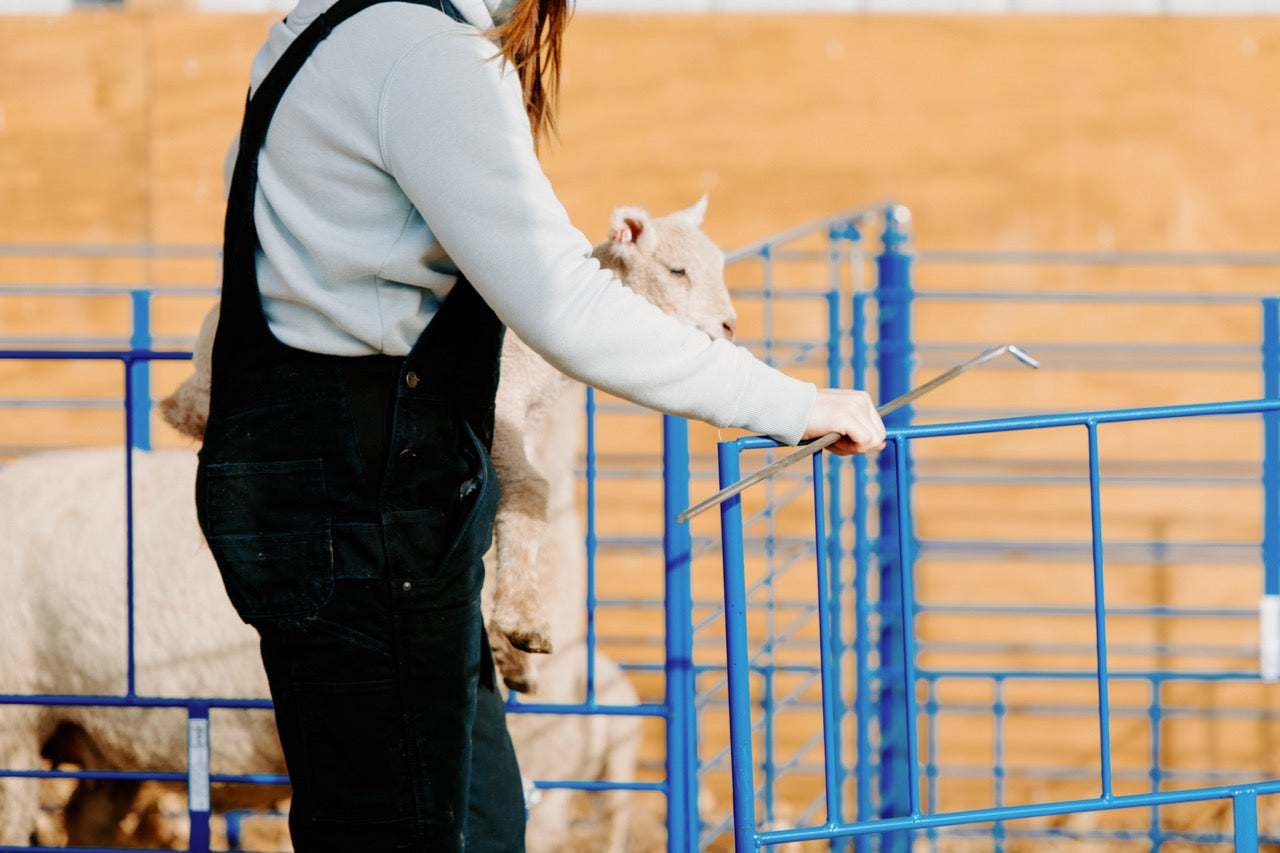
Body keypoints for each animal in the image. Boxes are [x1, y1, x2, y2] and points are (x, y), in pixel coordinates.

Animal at [158, 196, 738, 695]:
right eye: (677, 271)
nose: (730, 326)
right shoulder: (501, 409)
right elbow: (531, 492)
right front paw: (522, 623)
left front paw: (512, 655)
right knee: (194, 405)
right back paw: (177, 411)